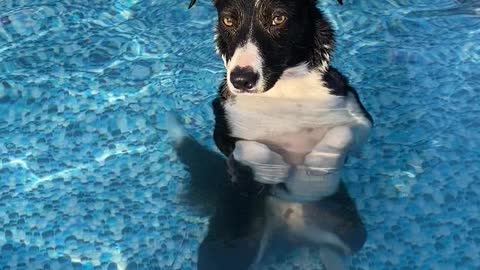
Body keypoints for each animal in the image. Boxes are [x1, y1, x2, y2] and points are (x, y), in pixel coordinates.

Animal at [171, 0, 374, 268]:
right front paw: (274, 169)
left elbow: (343, 132)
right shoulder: (223, 131)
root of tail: (288, 229)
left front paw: (315, 168)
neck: (282, 92)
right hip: (230, 250)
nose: (241, 79)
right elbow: (249, 148)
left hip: (350, 228)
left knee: (335, 247)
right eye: (228, 20)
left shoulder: (359, 117)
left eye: (279, 18)